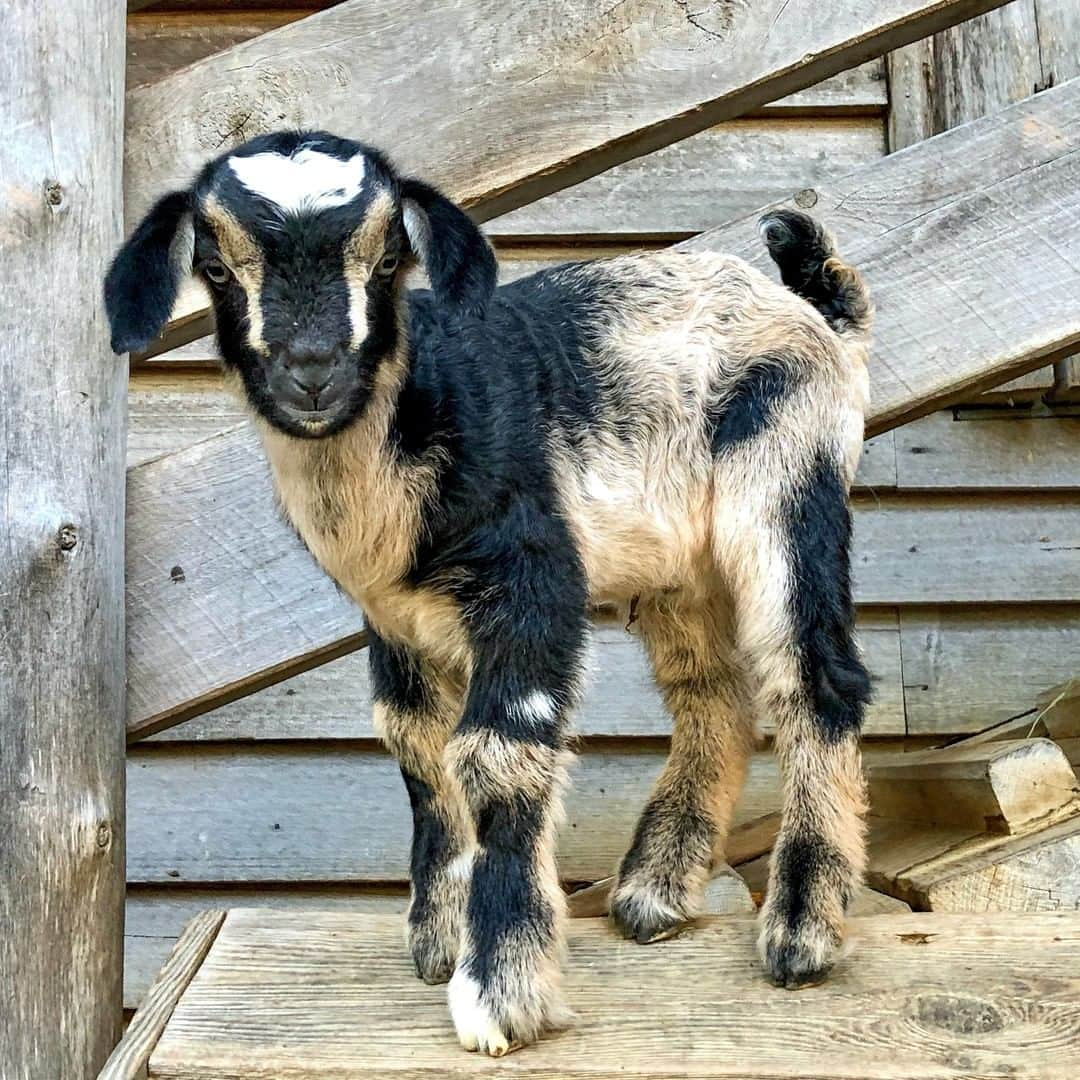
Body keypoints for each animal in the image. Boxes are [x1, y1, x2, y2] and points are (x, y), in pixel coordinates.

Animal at [105, 132, 872, 1054]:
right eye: (216, 267)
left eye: (388, 259)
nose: (312, 373)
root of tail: (815, 315)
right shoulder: (396, 620)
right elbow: (414, 745)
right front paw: (438, 939)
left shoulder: (531, 574)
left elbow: (494, 754)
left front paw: (499, 991)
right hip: (676, 565)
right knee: (712, 694)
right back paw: (654, 891)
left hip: (785, 476)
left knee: (813, 677)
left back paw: (801, 931)